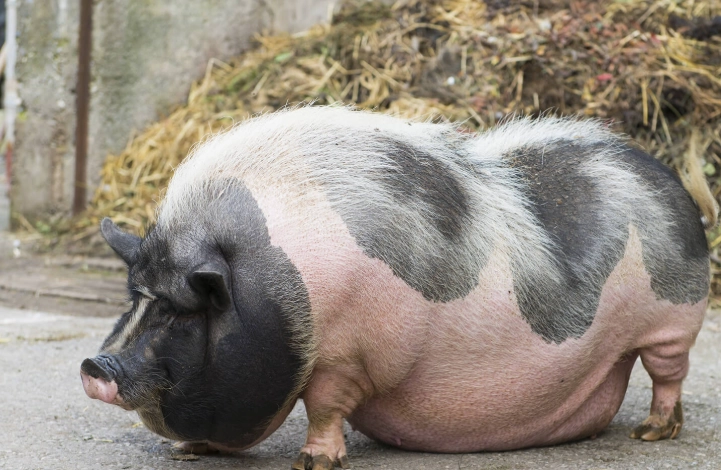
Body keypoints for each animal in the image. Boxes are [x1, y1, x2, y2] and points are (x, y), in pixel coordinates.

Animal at [81, 106, 716, 470]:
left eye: (181, 311)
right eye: (135, 296)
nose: (93, 365)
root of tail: (664, 176)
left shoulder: (347, 354)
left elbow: (324, 405)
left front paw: (313, 463)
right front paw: (185, 449)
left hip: (674, 319)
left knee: (669, 374)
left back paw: (652, 433)